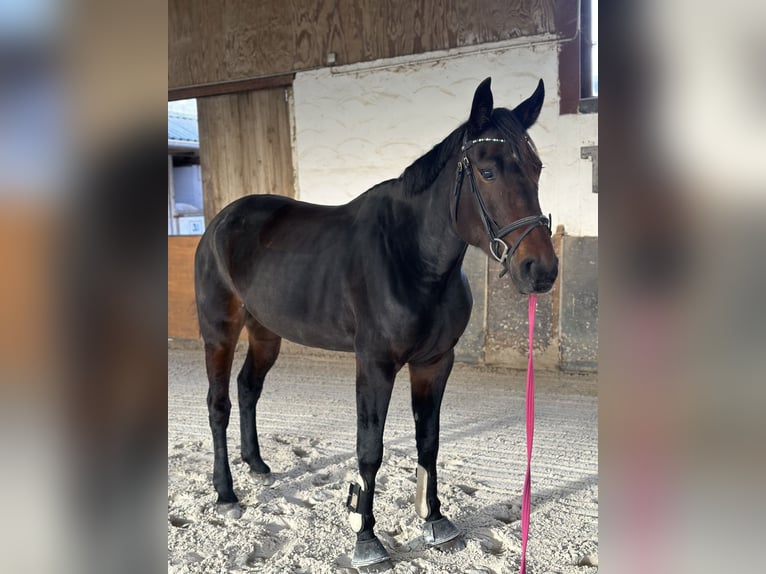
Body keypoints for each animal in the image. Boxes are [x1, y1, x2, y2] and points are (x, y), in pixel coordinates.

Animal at [195, 77, 560, 572]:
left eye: (537, 167)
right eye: (487, 172)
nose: (540, 270)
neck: (412, 258)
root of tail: (221, 220)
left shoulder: (434, 363)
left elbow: (429, 440)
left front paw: (435, 520)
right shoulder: (374, 365)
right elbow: (370, 449)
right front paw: (366, 538)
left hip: (266, 332)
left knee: (248, 387)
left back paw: (257, 466)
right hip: (220, 330)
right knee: (219, 404)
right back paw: (227, 494)